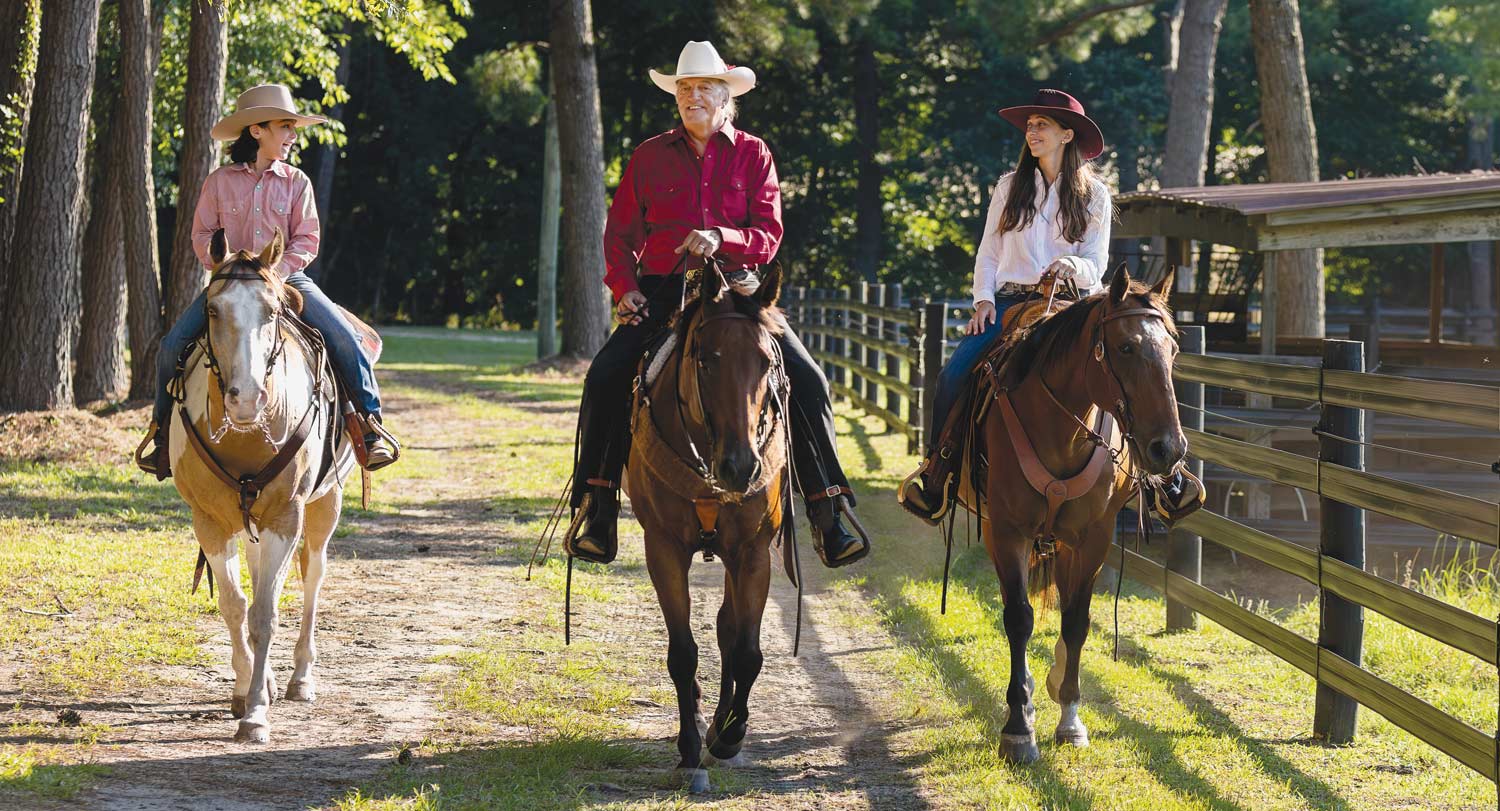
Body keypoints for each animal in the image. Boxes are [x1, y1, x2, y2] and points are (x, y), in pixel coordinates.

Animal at [169, 226, 354, 740]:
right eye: (213, 309)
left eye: (271, 311)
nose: (247, 399)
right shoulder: (208, 521)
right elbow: (236, 606)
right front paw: (244, 690)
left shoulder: (286, 518)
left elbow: (266, 614)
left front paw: (255, 714)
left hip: (324, 506)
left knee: (313, 576)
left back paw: (300, 678)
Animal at [621, 260, 792, 791]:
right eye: (706, 359)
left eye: (766, 361)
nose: (741, 466)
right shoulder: (663, 550)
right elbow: (683, 653)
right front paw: (690, 750)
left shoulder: (753, 553)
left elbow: (747, 649)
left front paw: (730, 735)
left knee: (728, 630)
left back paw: (720, 723)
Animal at [972, 268, 1182, 761]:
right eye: (1125, 347)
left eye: (1173, 350)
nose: (1168, 448)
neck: (1060, 428)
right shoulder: (1008, 531)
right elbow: (1019, 618)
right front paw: (1018, 728)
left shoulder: (1093, 538)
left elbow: (1076, 621)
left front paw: (1069, 718)